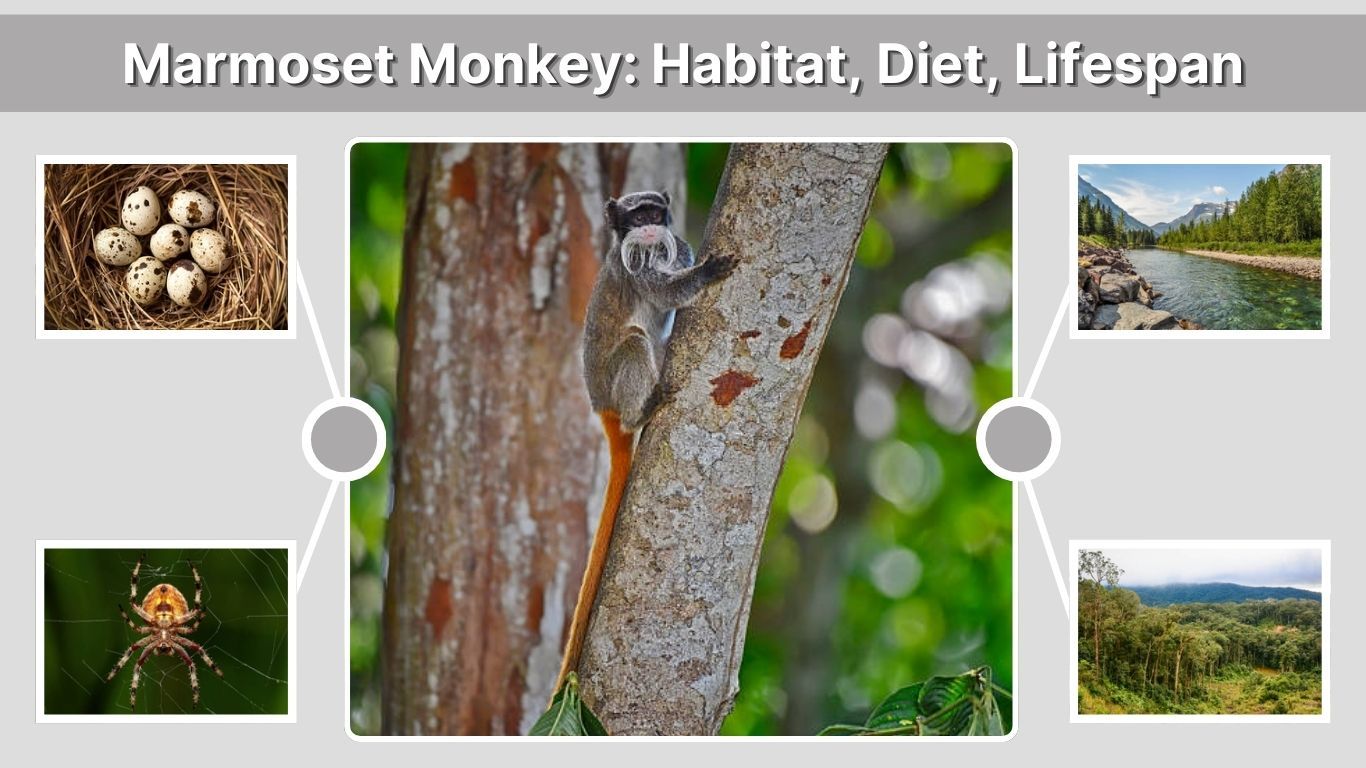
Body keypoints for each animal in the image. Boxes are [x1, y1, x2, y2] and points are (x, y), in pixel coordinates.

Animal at [555, 190, 736, 693]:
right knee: (637, 341)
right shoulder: (634, 266)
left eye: (655, 212)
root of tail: (604, 410)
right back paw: (643, 410)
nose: (651, 226)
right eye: (637, 219)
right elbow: (664, 292)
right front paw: (706, 273)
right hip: (617, 382)